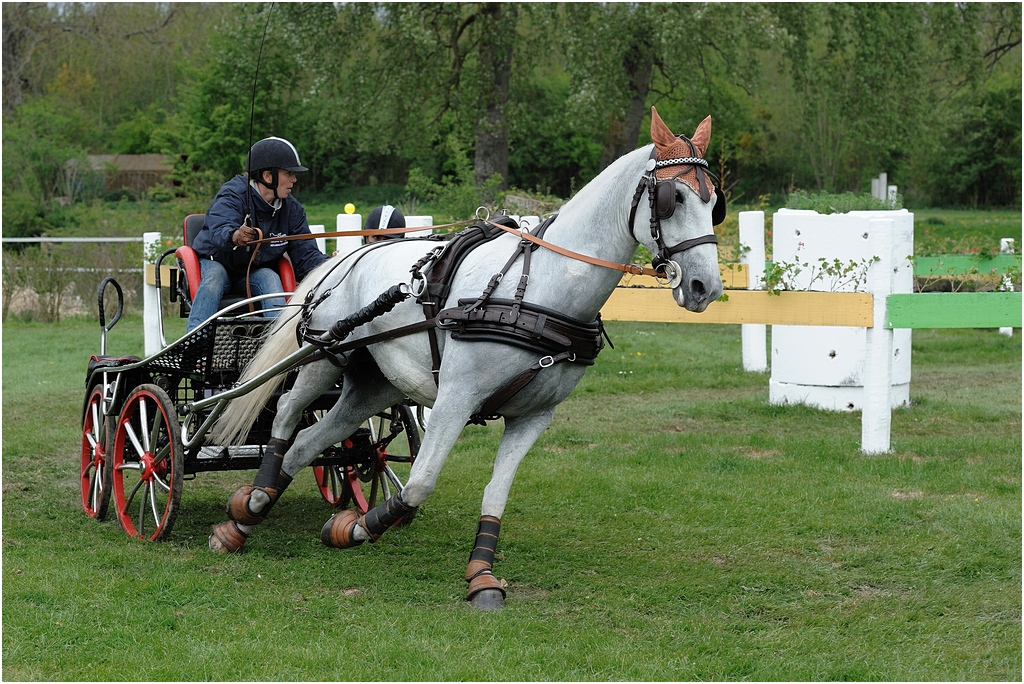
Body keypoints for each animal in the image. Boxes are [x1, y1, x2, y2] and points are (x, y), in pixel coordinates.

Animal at [207, 106, 724, 610]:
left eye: (714, 202)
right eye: (673, 198)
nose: (706, 288)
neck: (538, 289)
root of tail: (349, 258)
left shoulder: (533, 416)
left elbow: (496, 493)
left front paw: (480, 575)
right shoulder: (454, 399)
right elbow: (419, 484)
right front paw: (355, 527)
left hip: (374, 383)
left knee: (311, 441)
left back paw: (248, 516)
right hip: (325, 356)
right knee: (287, 414)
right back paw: (248, 507)